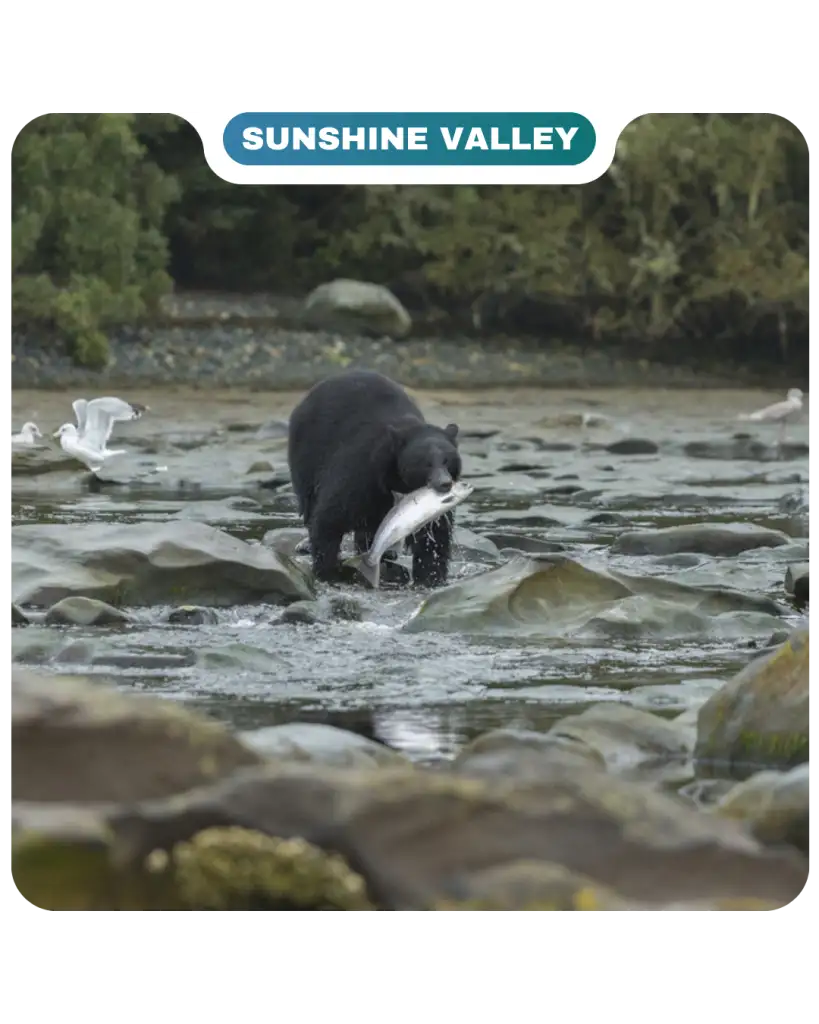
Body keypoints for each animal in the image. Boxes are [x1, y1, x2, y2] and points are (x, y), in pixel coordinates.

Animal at [287, 369, 462, 587]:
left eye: (447, 460)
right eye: (425, 463)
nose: (444, 483)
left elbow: (435, 537)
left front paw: (430, 577)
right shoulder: (363, 471)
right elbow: (331, 516)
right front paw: (327, 571)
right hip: (307, 453)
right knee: (309, 501)